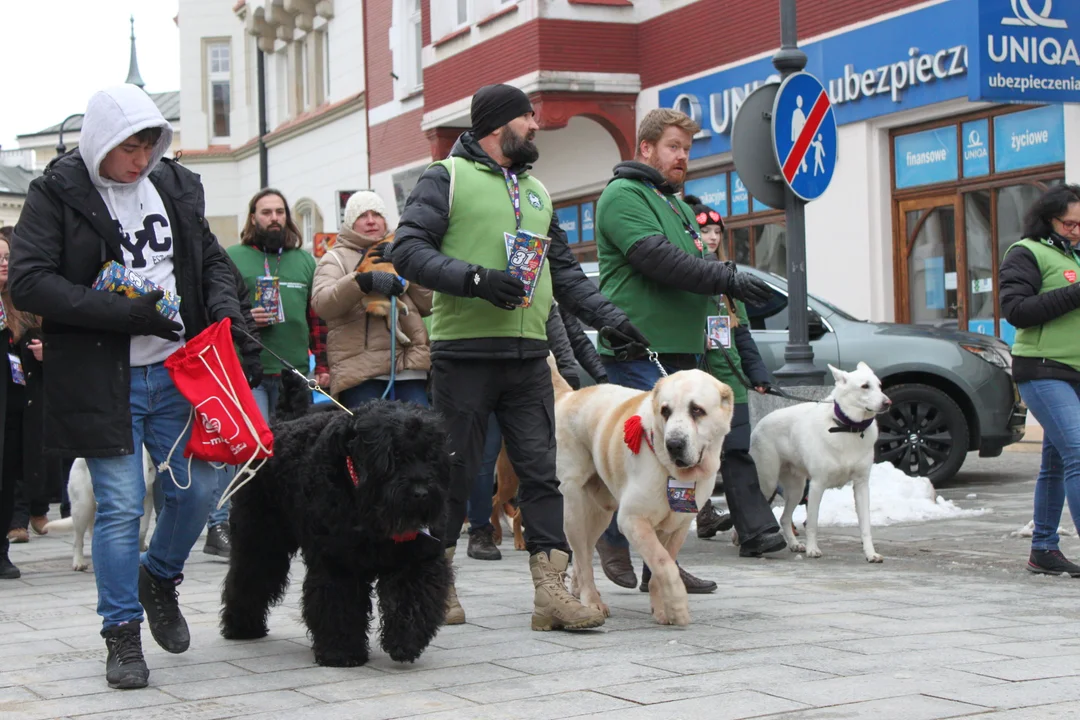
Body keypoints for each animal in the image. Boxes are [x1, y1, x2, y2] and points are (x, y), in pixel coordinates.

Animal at [221, 399, 449, 664]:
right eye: (393, 455)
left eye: (431, 455)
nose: (421, 493)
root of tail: (278, 425)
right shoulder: (337, 560)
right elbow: (339, 603)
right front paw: (341, 652)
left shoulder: (416, 555)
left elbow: (411, 597)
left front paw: (406, 642)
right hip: (260, 538)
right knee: (248, 576)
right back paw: (242, 627)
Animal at [557, 358, 734, 626]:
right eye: (665, 411)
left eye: (696, 410)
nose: (674, 444)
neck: (673, 472)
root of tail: (571, 395)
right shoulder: (632, 520)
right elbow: (663, 563)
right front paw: (678, 607)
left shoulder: (678, 526)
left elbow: (663, 563)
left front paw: (662, 609)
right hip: (576, 505)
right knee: (583, 554)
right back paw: (591, 600)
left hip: (600, 511)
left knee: (584, 552)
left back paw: (578, 590)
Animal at [751, 362, 894, 565]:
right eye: (865, 386)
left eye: (880, 386)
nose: (888, 403)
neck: (847, 428)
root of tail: (760, 422)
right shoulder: (817, 485)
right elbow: (812, 523)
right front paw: (813, 549)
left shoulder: (861, 485)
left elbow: (865, 525)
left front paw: (870, 553)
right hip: (768, 483)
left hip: (797, 489)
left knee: (785, 518)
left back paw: (794, 544)